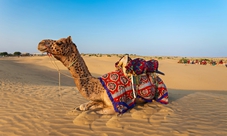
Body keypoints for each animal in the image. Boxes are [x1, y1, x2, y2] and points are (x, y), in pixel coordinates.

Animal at [37, 35, 168, 114]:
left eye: (59, 43)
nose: (40, 43)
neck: (99, 87)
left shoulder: (116, 107)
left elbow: (96, 111)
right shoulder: (98, 99)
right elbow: (85, 106)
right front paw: (81, 107)